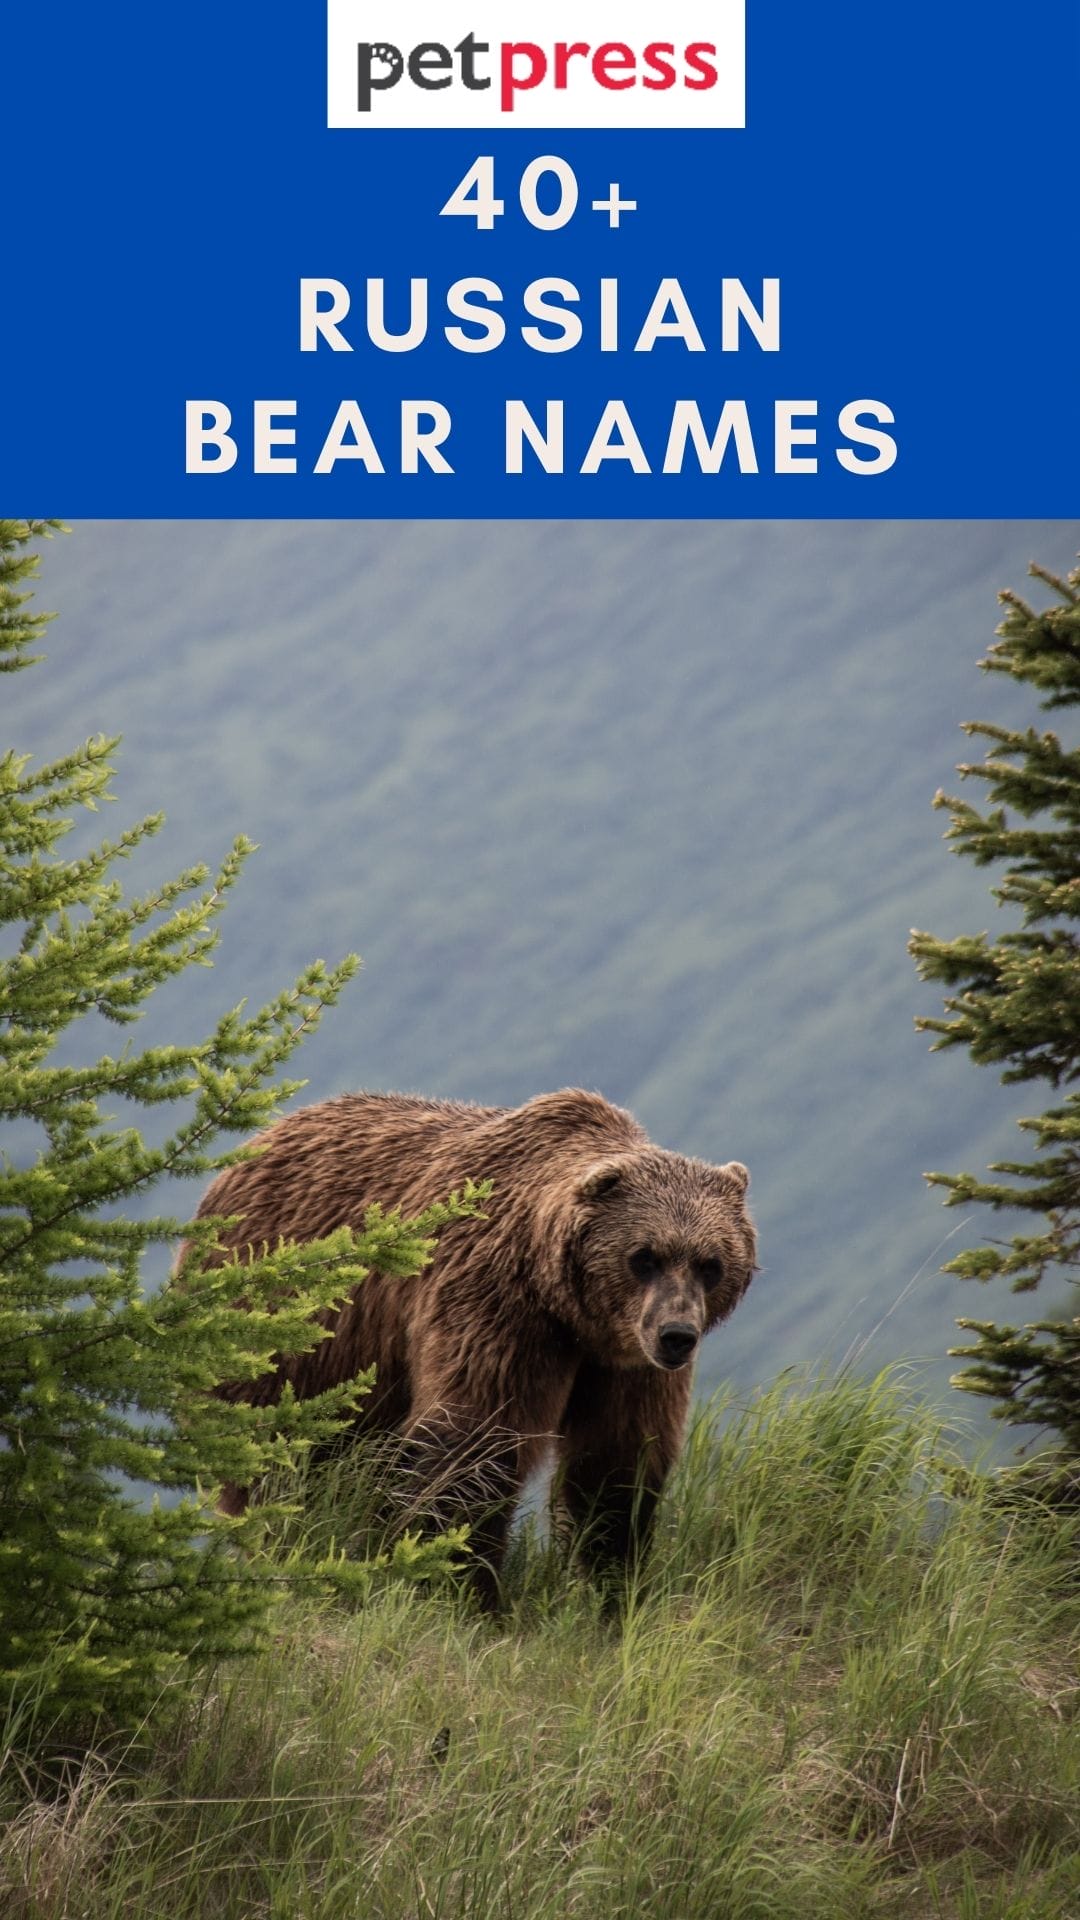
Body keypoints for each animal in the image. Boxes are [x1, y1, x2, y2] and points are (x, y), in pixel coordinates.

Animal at [185, 1087, 757, 1604]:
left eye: (710, 1263)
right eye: (645, 1256)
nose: (676, 1335)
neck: (568, 1308)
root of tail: (253, 1145)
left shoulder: (624, 1363)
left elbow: (616, 1463)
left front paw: (609, 1588)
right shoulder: (496, 1306)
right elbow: (473, 1441)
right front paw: (462, 1590)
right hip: (287, 1333)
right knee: (281, 1459)